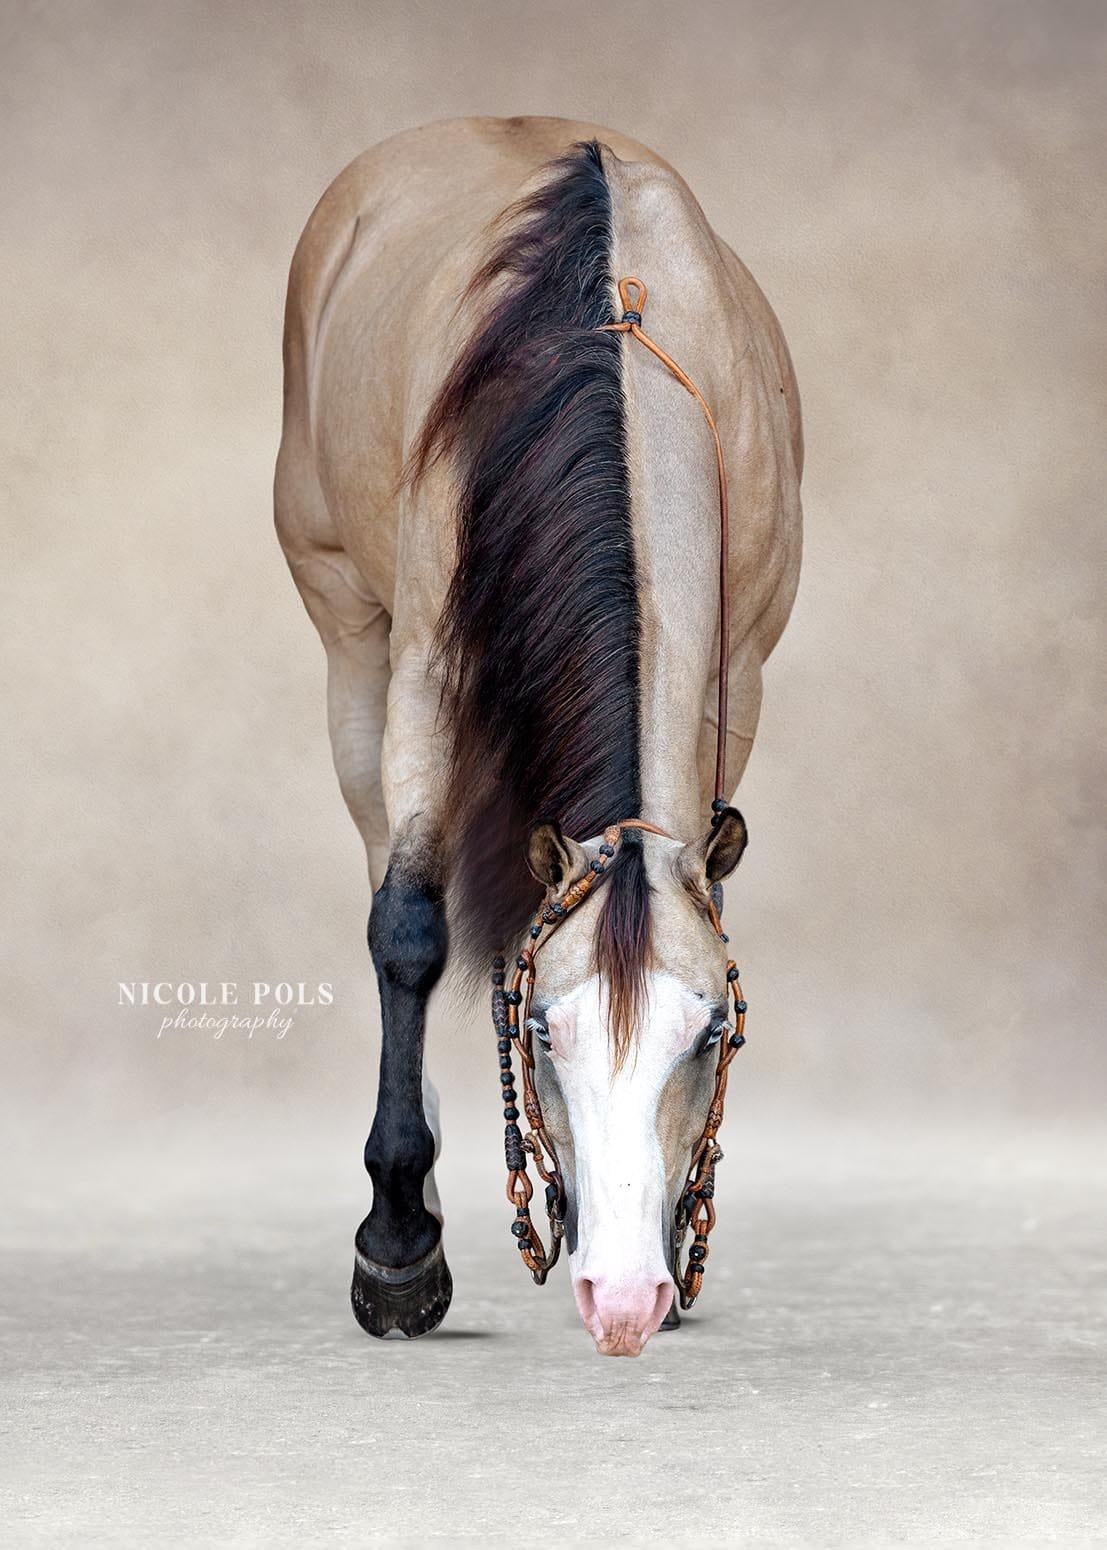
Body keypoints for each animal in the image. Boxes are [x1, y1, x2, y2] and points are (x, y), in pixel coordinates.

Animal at [275, 116, 802, 1358]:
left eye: (709, 1034)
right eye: (543, 1035)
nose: (623, 1296)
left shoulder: (737, 683)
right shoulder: (423, 666)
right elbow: (408, 928)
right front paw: (399, 1248)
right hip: (350, 642)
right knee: (385, 875)